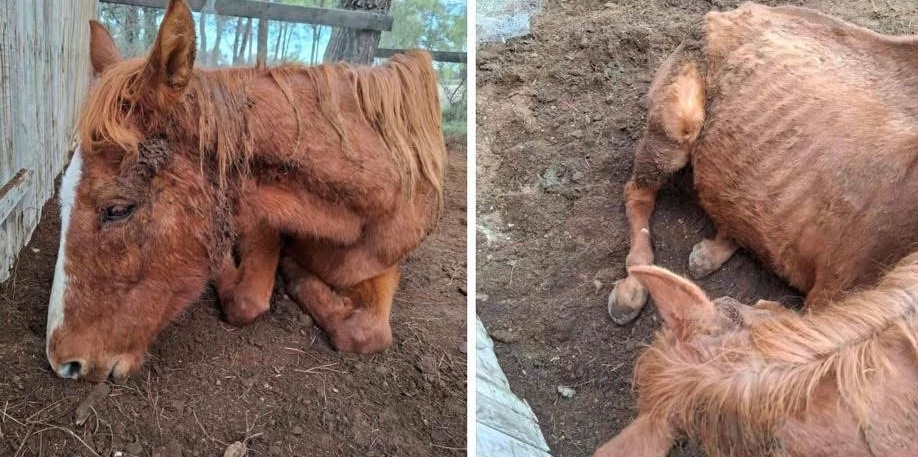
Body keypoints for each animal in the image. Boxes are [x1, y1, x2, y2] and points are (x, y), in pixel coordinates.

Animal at [45, 0, 447, 381]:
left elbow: (368, 332)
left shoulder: (382, 263)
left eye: (117, 209)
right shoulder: (260, 215)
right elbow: (247, 300)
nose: (62, 361)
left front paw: (293, 271)